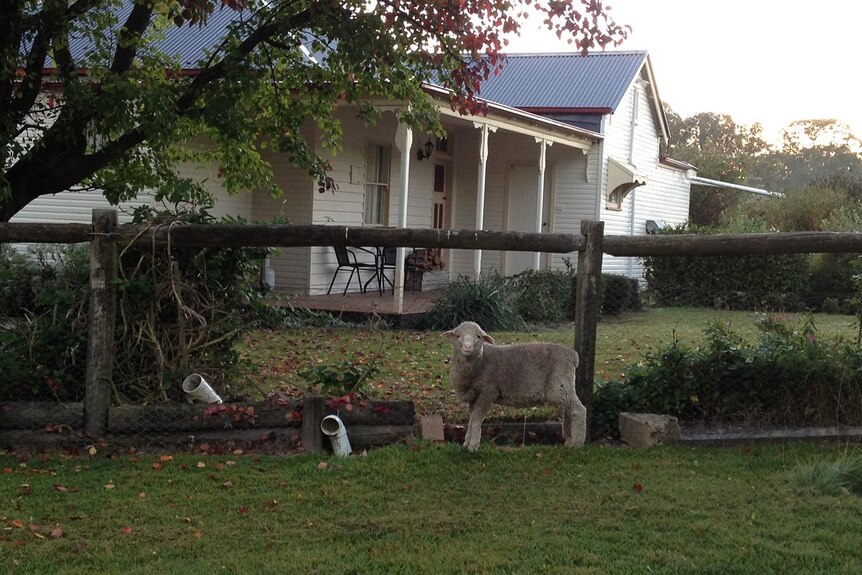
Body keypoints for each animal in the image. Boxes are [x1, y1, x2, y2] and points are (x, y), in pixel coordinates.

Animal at [442, 322, 592, 452]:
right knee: (568, 411)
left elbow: (477, 419)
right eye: (458, 335)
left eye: (478, 336)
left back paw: (577, 444)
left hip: (560, 385)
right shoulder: (474, 396)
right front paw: (466, 444)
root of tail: (573, 355)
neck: (480, 360)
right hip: (563, 388)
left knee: (578, 410)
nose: (467, 348)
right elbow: (472, 418)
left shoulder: (488, 391)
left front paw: (473, 446)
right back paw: (568, 440)